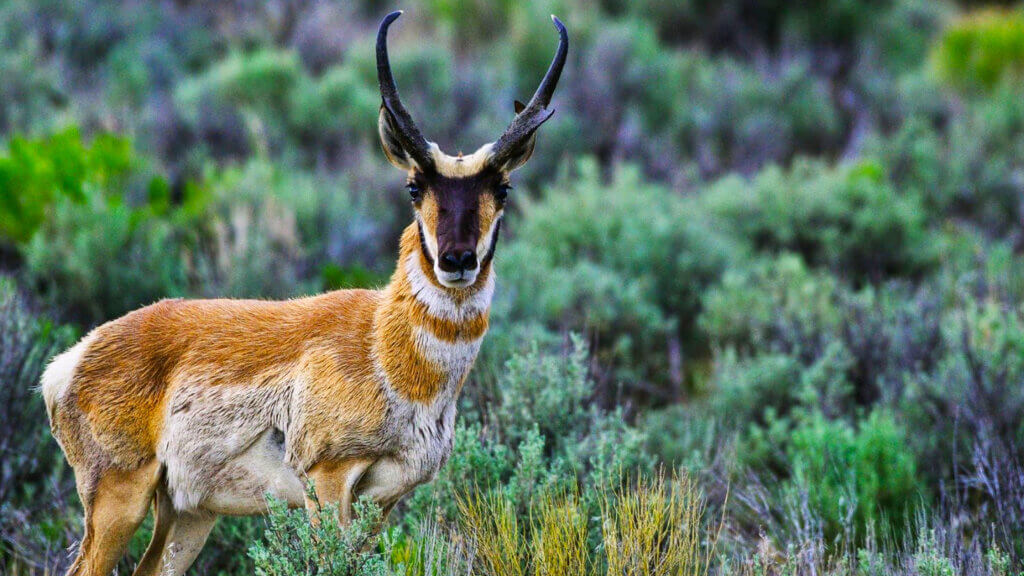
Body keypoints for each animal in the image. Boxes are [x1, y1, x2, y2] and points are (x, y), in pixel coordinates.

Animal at [41, 11, 569, 569]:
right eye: (413, 186)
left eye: (503, 188)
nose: (457, 260)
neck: (381, 348)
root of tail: (71, 361)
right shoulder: (327, 482)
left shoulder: (382, 501)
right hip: (119, 499)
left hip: (189, 513)